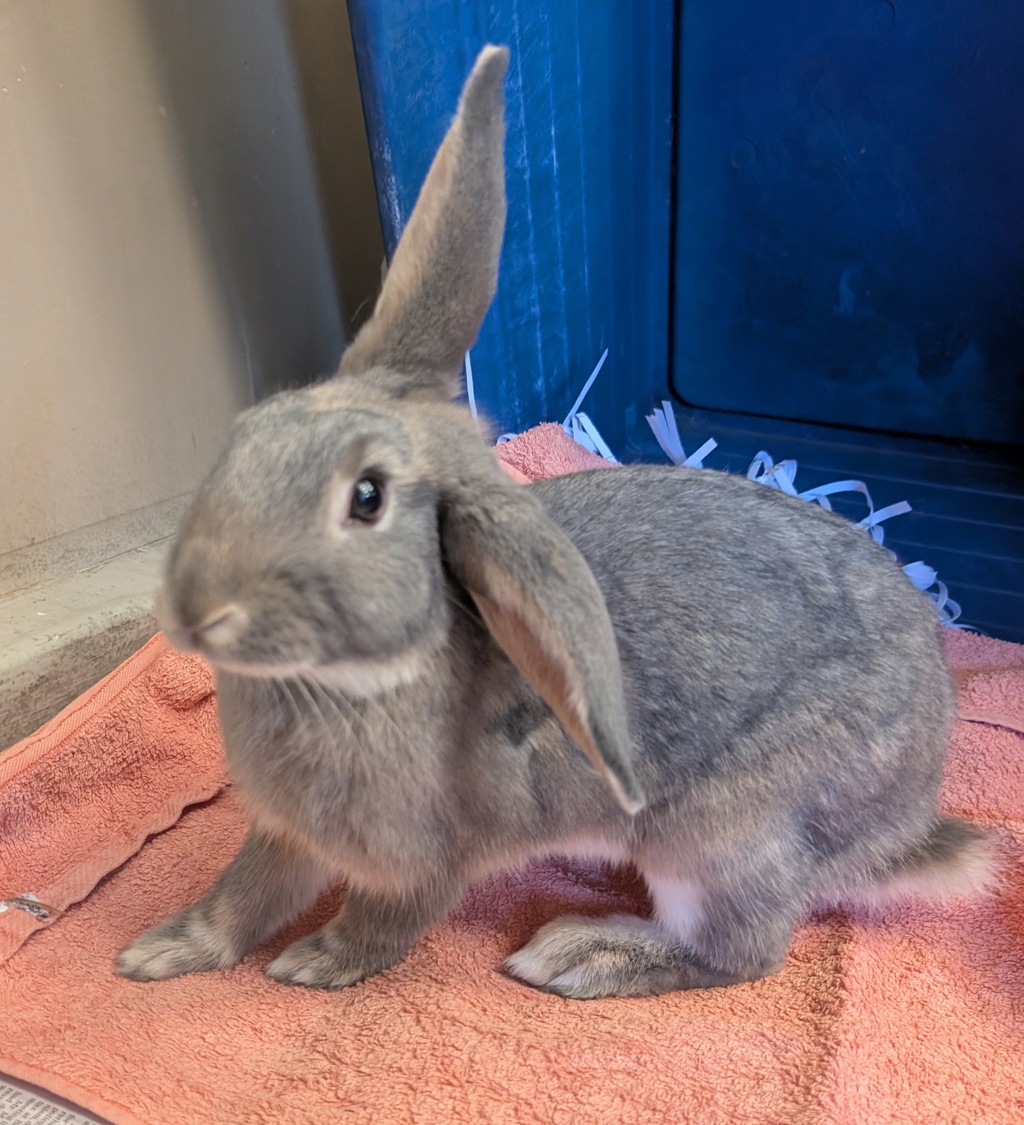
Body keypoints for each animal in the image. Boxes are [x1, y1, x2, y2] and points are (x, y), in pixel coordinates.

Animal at [116, 45, 995, 1000]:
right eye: (249, 428)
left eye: (367, 497)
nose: (192, 611)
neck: (363, 678)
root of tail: (906, 825)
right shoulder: (282, 834)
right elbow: (241, 894)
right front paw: (155, 952)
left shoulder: (421, 865)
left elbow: (381, 924)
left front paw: (312, 965)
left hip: (722, 839)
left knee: (745, 951)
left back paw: (577, 953)